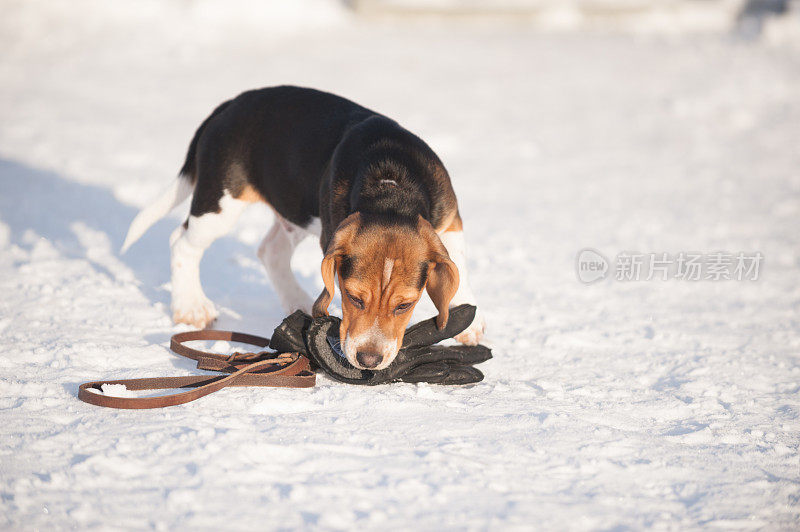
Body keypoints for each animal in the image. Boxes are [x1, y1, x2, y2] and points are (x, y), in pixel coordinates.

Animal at [122, 86, 484, 370]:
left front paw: (467, 321)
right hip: (220, 204)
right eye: (353, 297)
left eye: (404, 306)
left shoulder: (451, 219)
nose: (368, 360)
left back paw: (296, 300)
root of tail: (231, 104)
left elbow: (459, 263)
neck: (391, 187)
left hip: (293, 211)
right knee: (181, 242)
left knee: (270, 252)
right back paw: (191, 307)